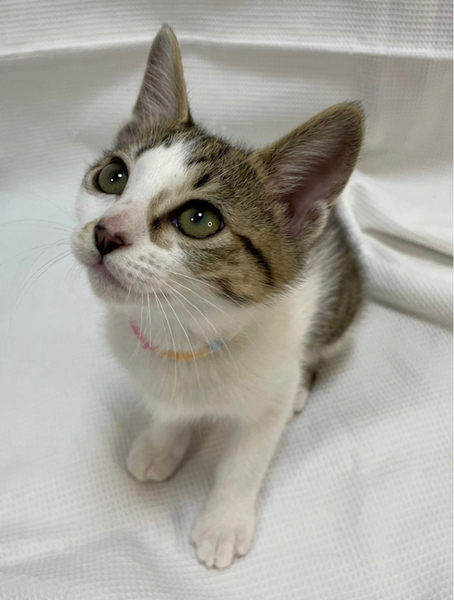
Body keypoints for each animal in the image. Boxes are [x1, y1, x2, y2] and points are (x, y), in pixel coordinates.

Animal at [71, 25, 363, 569]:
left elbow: (246, 460)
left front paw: (224, 523)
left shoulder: (266, 396)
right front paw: (162, 444)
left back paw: (301, 388)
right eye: (112, 176)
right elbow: (168, 413)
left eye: (199, 219)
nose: (105, 232)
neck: (184, 334)